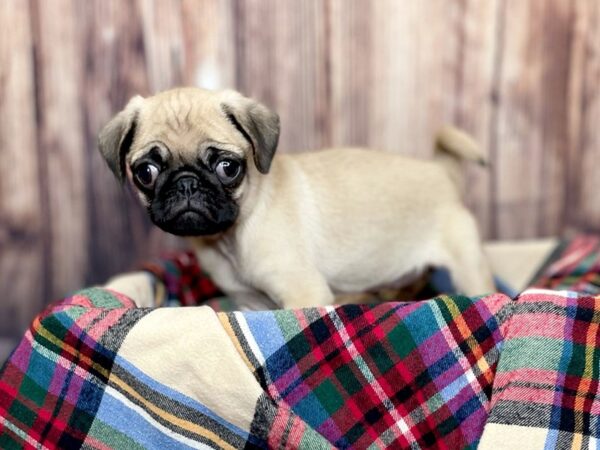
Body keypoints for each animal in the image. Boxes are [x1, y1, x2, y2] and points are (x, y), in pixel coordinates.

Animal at [97, 86, 492, 308]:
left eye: (228, 167)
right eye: (146, 172)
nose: (186, 184)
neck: (230, 239)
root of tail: (441, 170)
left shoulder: (303, 294)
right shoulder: (251, 304)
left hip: (468, 267)